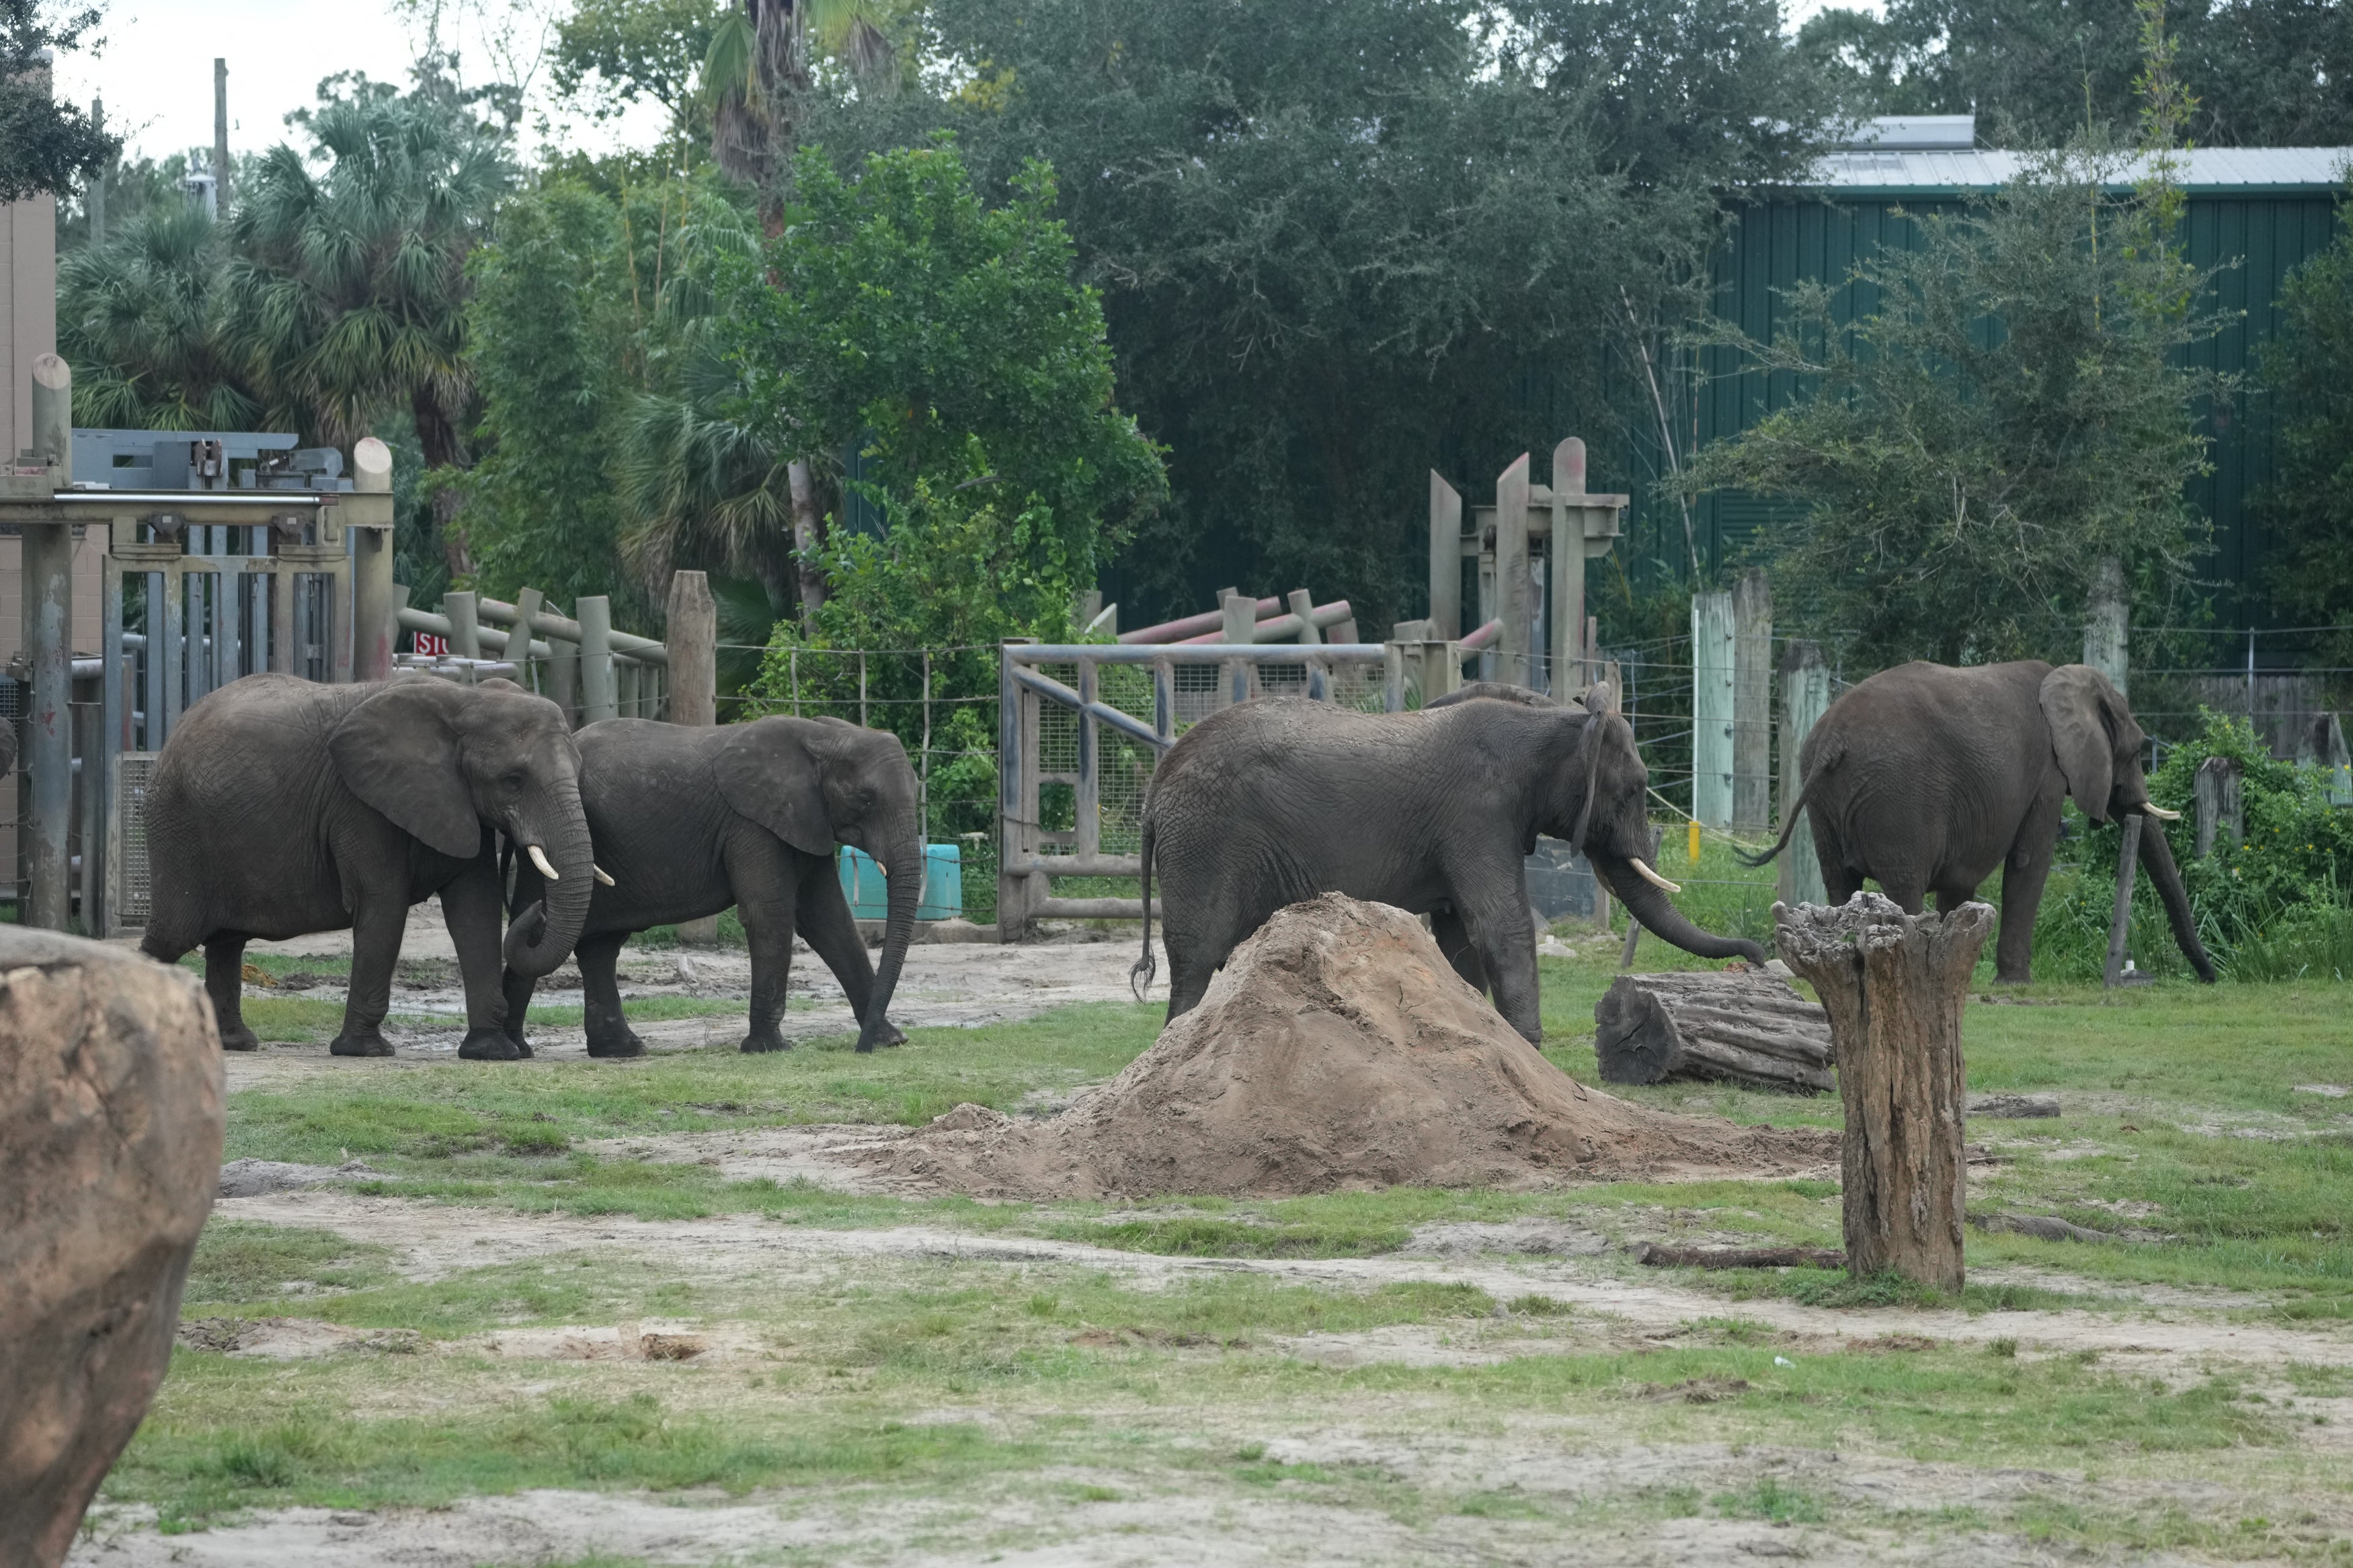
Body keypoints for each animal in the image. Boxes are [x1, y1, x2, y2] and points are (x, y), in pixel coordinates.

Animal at [137, 667, 598, 1062]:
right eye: (513, 781)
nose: (537, 912)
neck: (468, 700)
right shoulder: (359, 804)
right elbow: (383, 903)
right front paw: (365, 1051)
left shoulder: (458, 803)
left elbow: (475, 909)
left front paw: (491, 1052)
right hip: (178, 827)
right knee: (173, 934)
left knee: (227, 942)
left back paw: (234, 1044)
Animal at [496, 719, 918, 1062]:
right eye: (866, 800)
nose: (859, 1049)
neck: (823, 735)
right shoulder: (752, 824)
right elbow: (770, 915)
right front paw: (768, 1049)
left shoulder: (807, 821)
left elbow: (829, 920)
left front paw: (887, 1040)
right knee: (538, 928)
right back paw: (514, 1050)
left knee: (600, 947)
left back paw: (621, 1050)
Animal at [1125, 691, 1769, 1044]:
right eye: (1634, 790)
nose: (1761, 957)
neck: (1552, 719)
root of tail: (1154, 789)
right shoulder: (1477, 814)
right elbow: (1502, 927)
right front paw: (1529, 1047)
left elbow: (1462, 937)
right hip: (1205, 843)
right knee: (1198, 960)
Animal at [1741, 658, 2212, 983]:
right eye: (2136, 750)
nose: (2210, 977)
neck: (2066, 680)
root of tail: (1832, 740)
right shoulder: (2047, 775)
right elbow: (2029, 862)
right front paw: (2016, 984)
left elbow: (1960, 879)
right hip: (1897, 798)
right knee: (1903, 885)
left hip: (1822, 797)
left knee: (1839, 880)